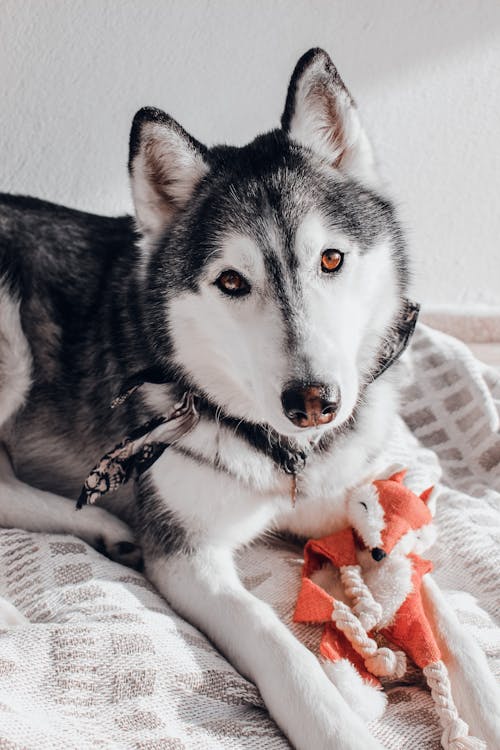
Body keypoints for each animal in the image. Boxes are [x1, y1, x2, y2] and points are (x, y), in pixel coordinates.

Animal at [0, 50, 500, 748]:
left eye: (332, 259)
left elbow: (443, 615)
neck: (286, 454)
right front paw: (336, 724)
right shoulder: (189, 560)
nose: (313, 401)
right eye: (232, 281)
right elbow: (278, 647)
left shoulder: (362, 501)